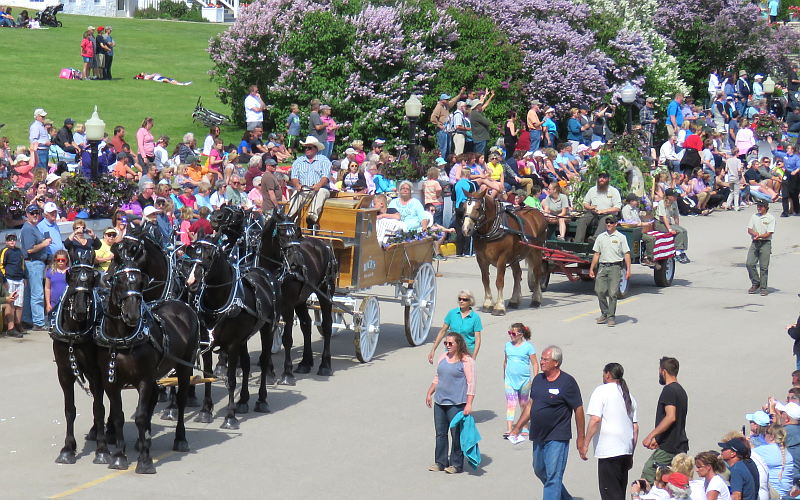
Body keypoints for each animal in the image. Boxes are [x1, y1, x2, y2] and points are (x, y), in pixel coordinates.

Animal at [50, 250, 111, 464]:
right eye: (72, 276)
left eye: (91, 277)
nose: (79, 309)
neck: (74, 332)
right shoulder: (64, 373)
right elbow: (70, 410)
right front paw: (68, 448)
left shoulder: (96, 372)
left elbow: (99, 408)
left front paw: (102, 449)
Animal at [96, 260, 200, 474]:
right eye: (119, 281)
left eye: (140, 282)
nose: (132, 314)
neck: (122, 339)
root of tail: (183, 306)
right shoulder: (111, 383)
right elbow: (118, 417)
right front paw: (119, 457)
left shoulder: (143, 379)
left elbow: (141, 416)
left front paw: (145, 461)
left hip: (184, 366)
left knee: (181, 400)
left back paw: (180, 439)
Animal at [186, 235, 280, 430]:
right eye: (192, 253)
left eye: (210, 256)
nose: (191, 282)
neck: (219, 302)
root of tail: (265, 273)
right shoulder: (206, 342)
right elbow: (208, 376)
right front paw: (205, 411)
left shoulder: (232, 344)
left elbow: (230, 380)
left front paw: (230, 417)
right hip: (244, 338)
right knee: (246, 364)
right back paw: (243, 400)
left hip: (267, 329)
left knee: (264, 361)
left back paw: (262, 400)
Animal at [260, 209, 336, 384]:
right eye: (281, 234)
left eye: (296, 233)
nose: (296, 263)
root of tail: (324, 244)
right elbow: (267, 338)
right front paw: (269, 372)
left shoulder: (287, 306)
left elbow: (287, 339)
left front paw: (287, 373)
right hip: (301, 298)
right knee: (306, 324)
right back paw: (305, 363)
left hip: (325, 292)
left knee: (327, 325)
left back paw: (325, 365)